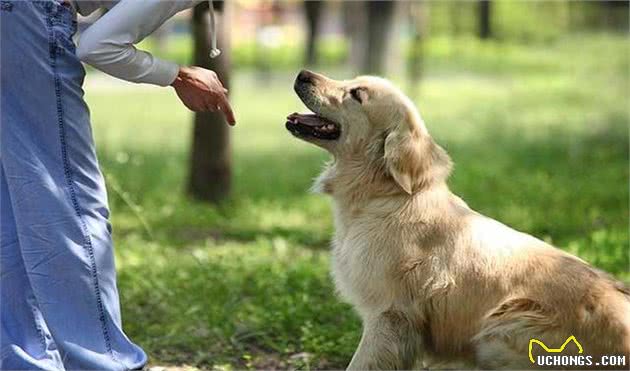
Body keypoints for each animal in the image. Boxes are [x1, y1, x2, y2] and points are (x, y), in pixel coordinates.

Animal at [286, 71, 630, 370]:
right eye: (352, 81)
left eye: (357, 94)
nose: (303, 74)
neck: (385, 195)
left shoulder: (389, 315)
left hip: (502, 327)